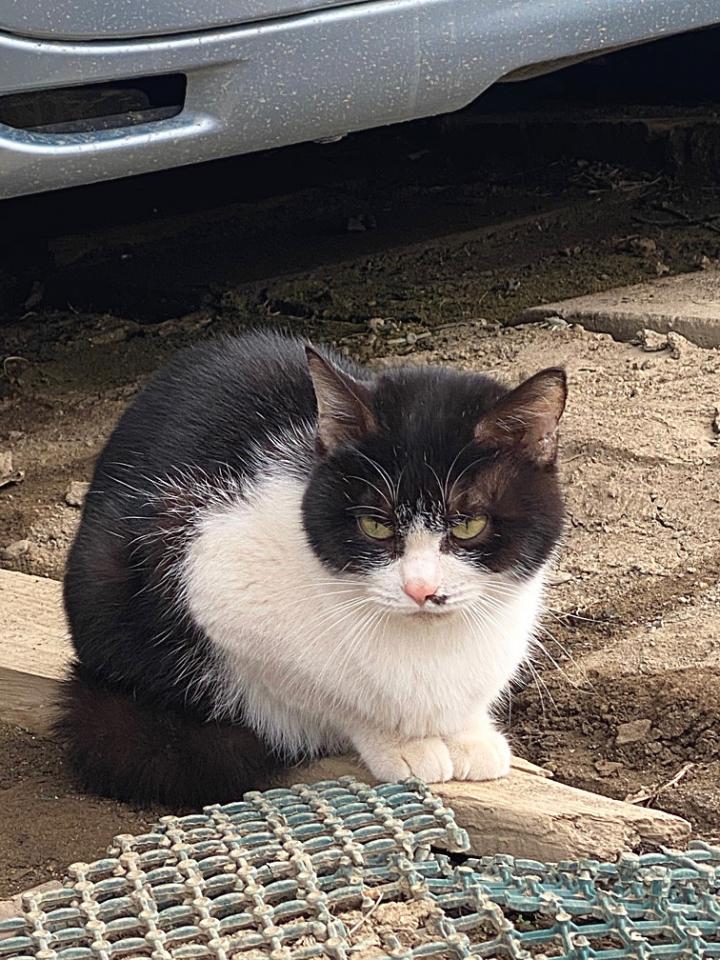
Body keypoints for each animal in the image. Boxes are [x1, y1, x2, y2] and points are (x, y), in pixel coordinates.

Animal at [58, 331, 566, 807]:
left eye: (469, 524)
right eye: (375, 525)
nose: (421, 589)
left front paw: (470, 734)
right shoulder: (210, 581)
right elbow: (321, 693)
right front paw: (398, 741)